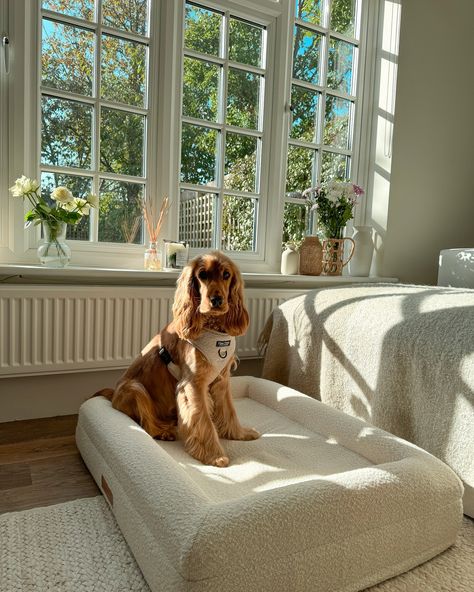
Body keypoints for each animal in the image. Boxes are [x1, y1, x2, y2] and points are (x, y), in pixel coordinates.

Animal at [94, 250, 260, 468]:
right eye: (203, 275)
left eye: (226, 275)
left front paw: (240, 434)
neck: (213, 329)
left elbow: (229, 411)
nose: (216, 300)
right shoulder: (193, 384)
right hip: (135, 388)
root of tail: (112, 396)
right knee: (146, 424)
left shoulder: (222, 381)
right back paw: (164, 431)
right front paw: (214, 455)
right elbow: (203, 421)